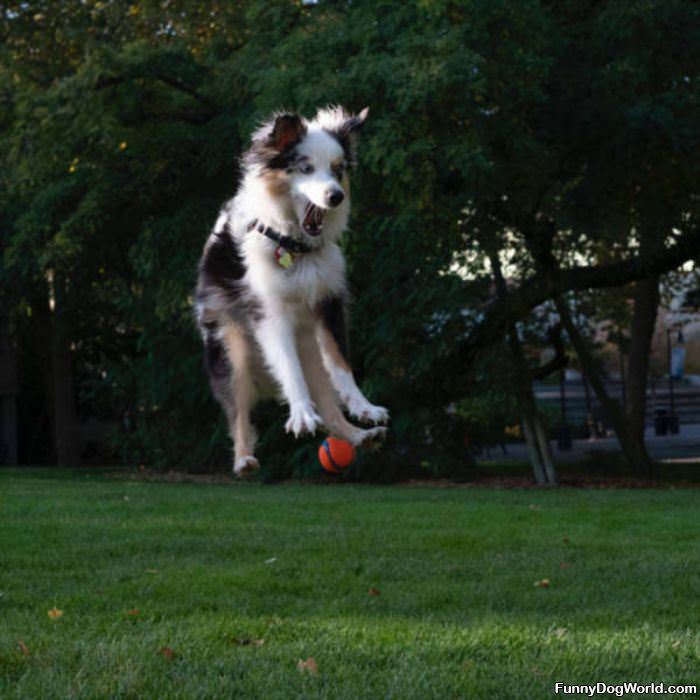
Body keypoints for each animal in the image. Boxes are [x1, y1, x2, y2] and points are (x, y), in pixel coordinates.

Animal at [194, 105, 388, 476]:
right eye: (305, 167)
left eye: (338, 169)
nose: (336, 196)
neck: (295, 246)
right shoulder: (270, 312)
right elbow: (288, 366)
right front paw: (301, 416)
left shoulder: (330, 304)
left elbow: (342, 366)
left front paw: (365, 408)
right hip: (230, 347)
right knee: (238, 409)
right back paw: (244, 459)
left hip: (311, 347)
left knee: (327, 399)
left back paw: (357, 435)